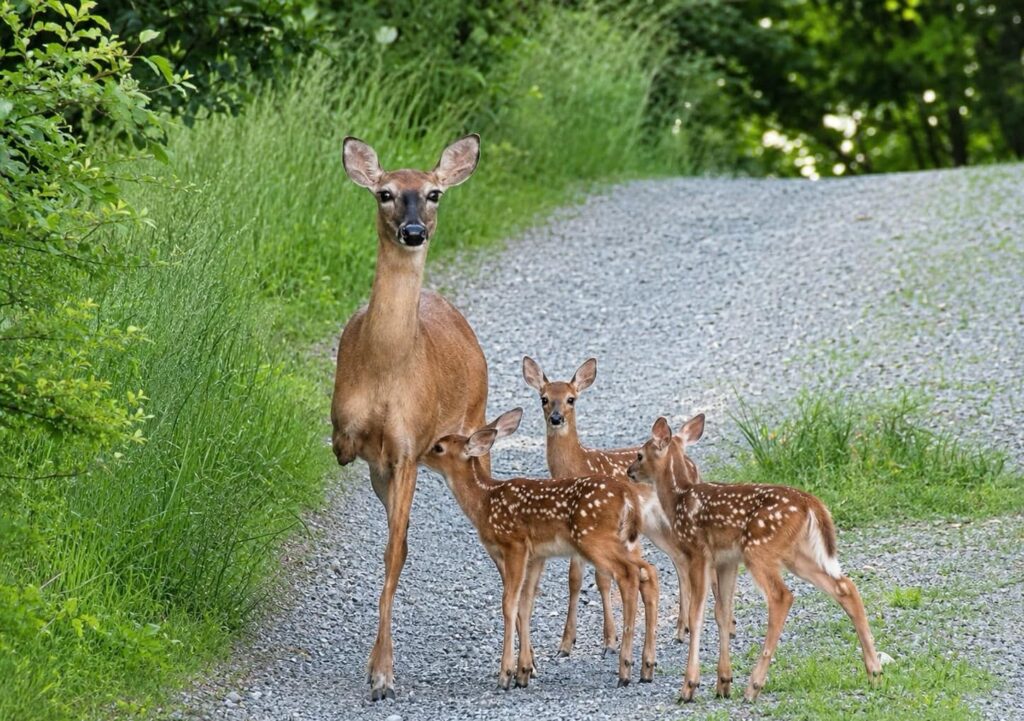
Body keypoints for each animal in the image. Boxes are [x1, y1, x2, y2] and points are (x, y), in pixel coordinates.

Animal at [331, 134, 489, 701]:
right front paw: (380, 669)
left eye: (434, 192)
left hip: (476, 422)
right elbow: (393, 545)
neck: (387, 370)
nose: (414, 231)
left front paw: (382, 674)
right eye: (385, 193)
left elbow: (392, 553)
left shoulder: (407, 450)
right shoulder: (347, 438)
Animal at [422, 408, 660, 690]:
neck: (485, 502)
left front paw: (506, 674)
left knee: (628, 575)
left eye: (438, 447)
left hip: (594, 539)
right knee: (648, 572)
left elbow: (509, 603)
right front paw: (524, 671)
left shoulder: (514, 544)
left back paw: (625, 669)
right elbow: (526, 604)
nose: (419, 455)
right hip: (625, 540)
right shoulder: (536, 555)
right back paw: (646, 667)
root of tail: (627, 496)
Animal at [522, 356, 734, 654]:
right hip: (655, 526)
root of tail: (687, 457)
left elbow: (602, 578)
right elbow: (575, 579)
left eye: (571, 399)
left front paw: (610, 640)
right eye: (544, 398)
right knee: (680, 560)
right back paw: (682, 629)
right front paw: (566, 643)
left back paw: (721, 626)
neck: (577, 465)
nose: (556, 418)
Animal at [627, 413, 883, 702]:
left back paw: (753, 686)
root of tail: (810, 503)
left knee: (782, 596)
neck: (678, 499)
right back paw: (874, 672)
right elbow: (723, 613)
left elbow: (697, 615)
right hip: (796, 553)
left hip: (759, 549)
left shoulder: (698, 553)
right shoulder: (726, 561)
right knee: (845, 586)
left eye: (639, 454)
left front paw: (689, 686)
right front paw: (723, 683)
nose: (629, 472)